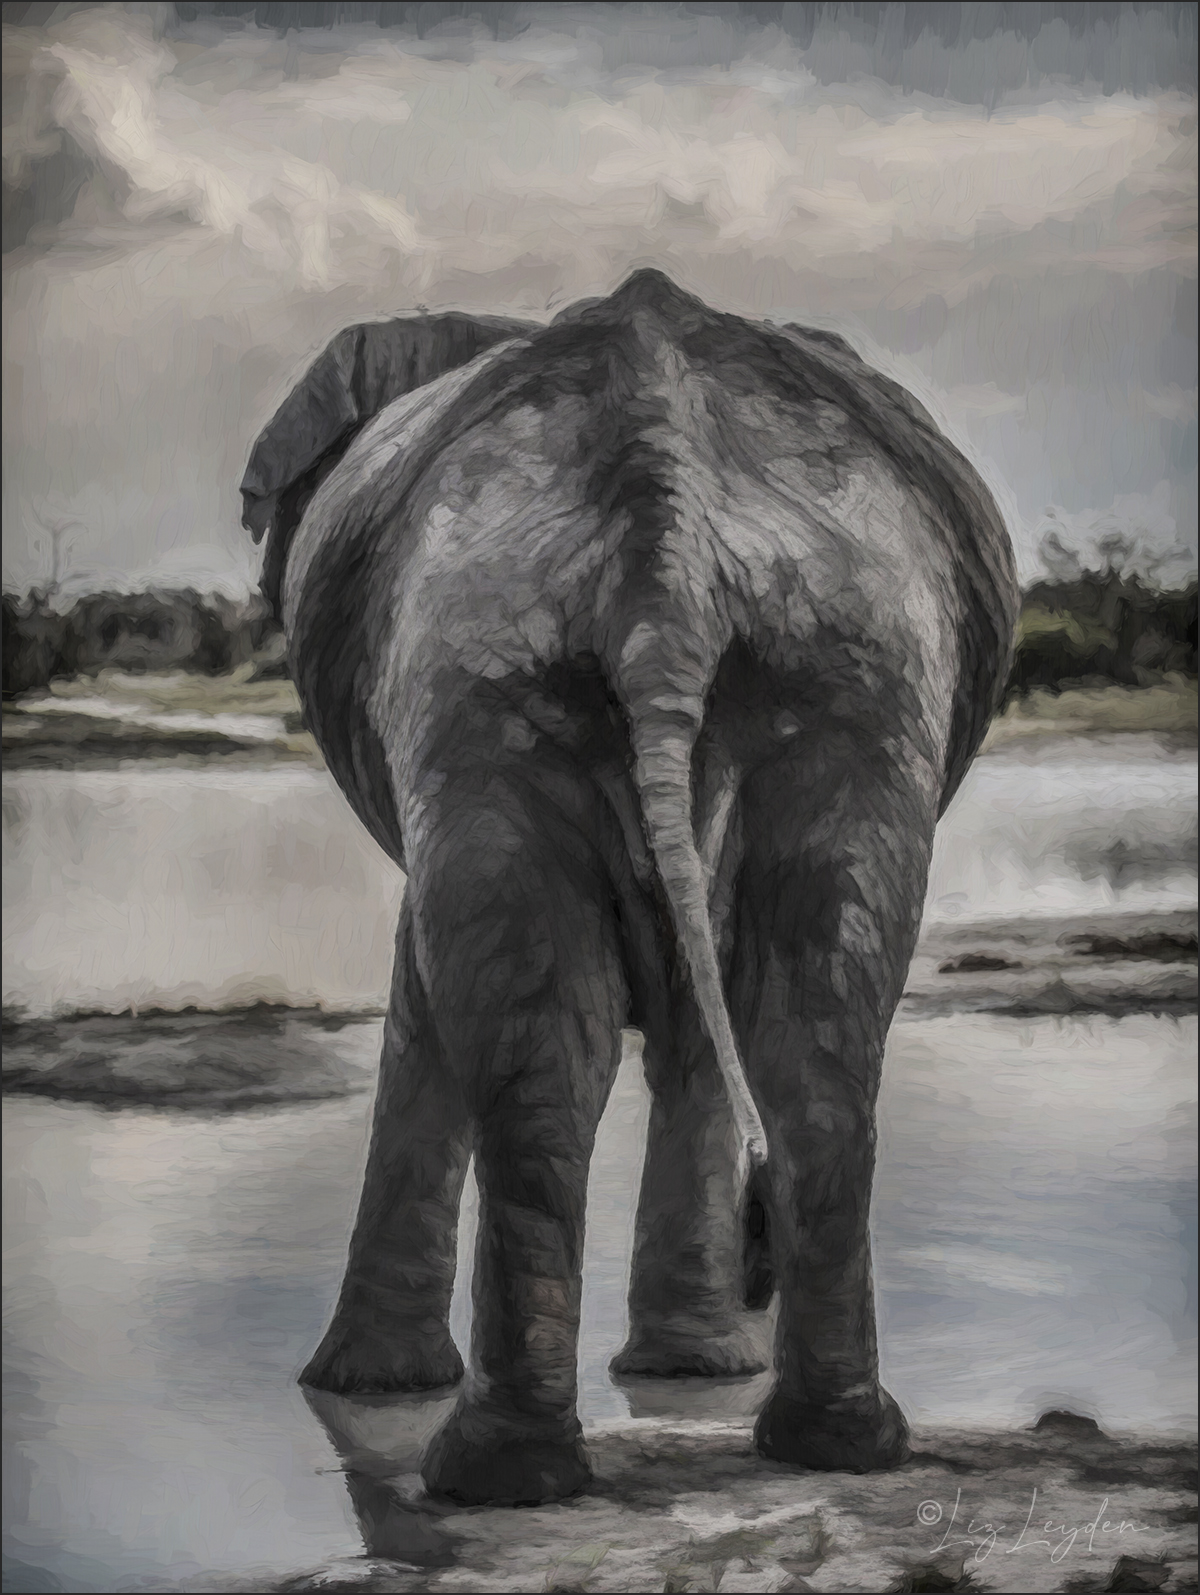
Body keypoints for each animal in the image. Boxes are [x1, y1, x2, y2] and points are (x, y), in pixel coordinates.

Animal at [239, 271, 1014, 1505]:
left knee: (589, 1038)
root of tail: (666, 525)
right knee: (773, 1033)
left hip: (644, 655)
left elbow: (431, 992)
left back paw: (507, 1469)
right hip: (825, 668)